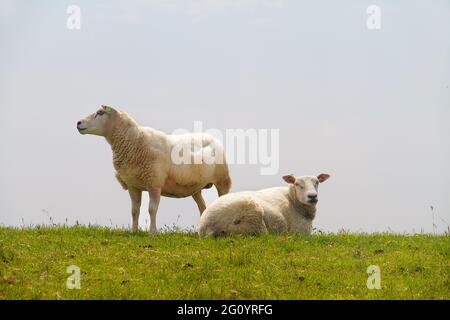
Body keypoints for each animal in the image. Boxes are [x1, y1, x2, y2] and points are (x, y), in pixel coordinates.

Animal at [77, 106, 230, 234]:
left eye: (100, 112)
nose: (78, 122)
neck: (135, 142)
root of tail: (212, 137)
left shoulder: (154, 183)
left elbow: (152, 209)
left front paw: (153, 232)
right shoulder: (133, 185)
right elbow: (134, 211)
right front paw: (134, 231)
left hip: (222, 180)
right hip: (196, 188)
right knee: (203, 208)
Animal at [199, 174, 328, 236]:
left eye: (317, 182)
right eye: (297, 184)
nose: (312, 196)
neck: (292, 199)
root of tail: (205, 226)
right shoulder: (300, 231)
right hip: (252, 218)